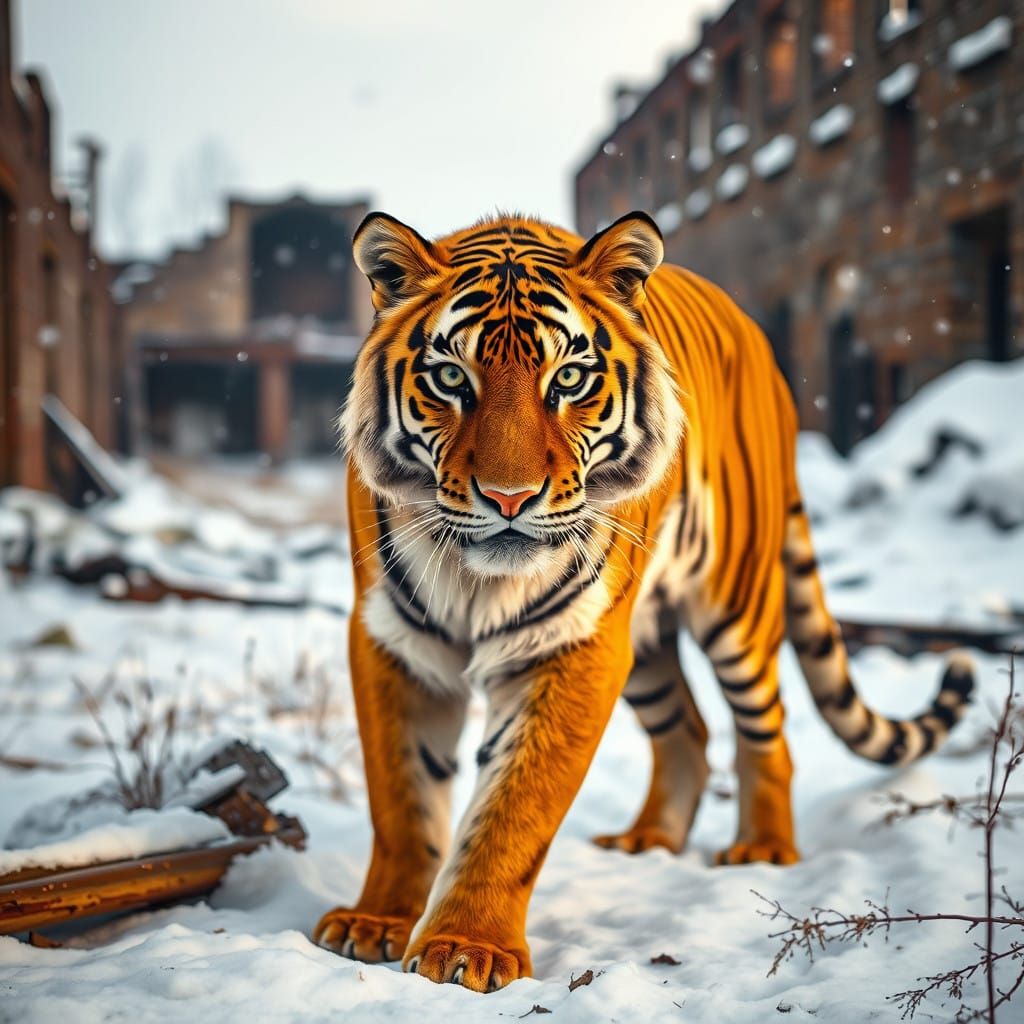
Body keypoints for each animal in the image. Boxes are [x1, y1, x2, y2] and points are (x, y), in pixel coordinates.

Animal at [313, 210, 974, 992]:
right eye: (451, 377)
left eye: (568, 379)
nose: (508, 499)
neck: (480, 582)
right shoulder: (393, 640)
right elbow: (403, 800)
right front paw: (377, 922)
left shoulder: (573, 645)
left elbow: (514, 807)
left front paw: (467, 945)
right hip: (645, 644)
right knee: (686, 728)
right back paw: (648, 841)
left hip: (736, 610)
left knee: (766, 730)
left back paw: (762, 850)